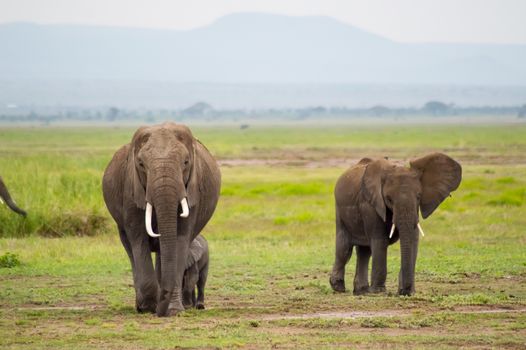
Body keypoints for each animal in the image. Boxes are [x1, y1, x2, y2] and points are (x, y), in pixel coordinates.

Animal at [102, 123, 222, 318]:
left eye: (186, 163)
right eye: (141, 164)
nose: (159, 310)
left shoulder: (191, 190)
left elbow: (180, 239)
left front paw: (172, 310)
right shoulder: (131, 191)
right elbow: (138, 240)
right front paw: (148, 307)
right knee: (130, 249)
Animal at [330, 152, 462, 296]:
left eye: (419, 196)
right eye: (389, 199)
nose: (404, 291)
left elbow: (413, 239)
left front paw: (409, 291)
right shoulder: (371, 204)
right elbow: (380, 240)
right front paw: (379, 292)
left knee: (364, 251)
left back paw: (362, 291)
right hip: (339, 209)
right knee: (344, 248)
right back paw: (338, 287)